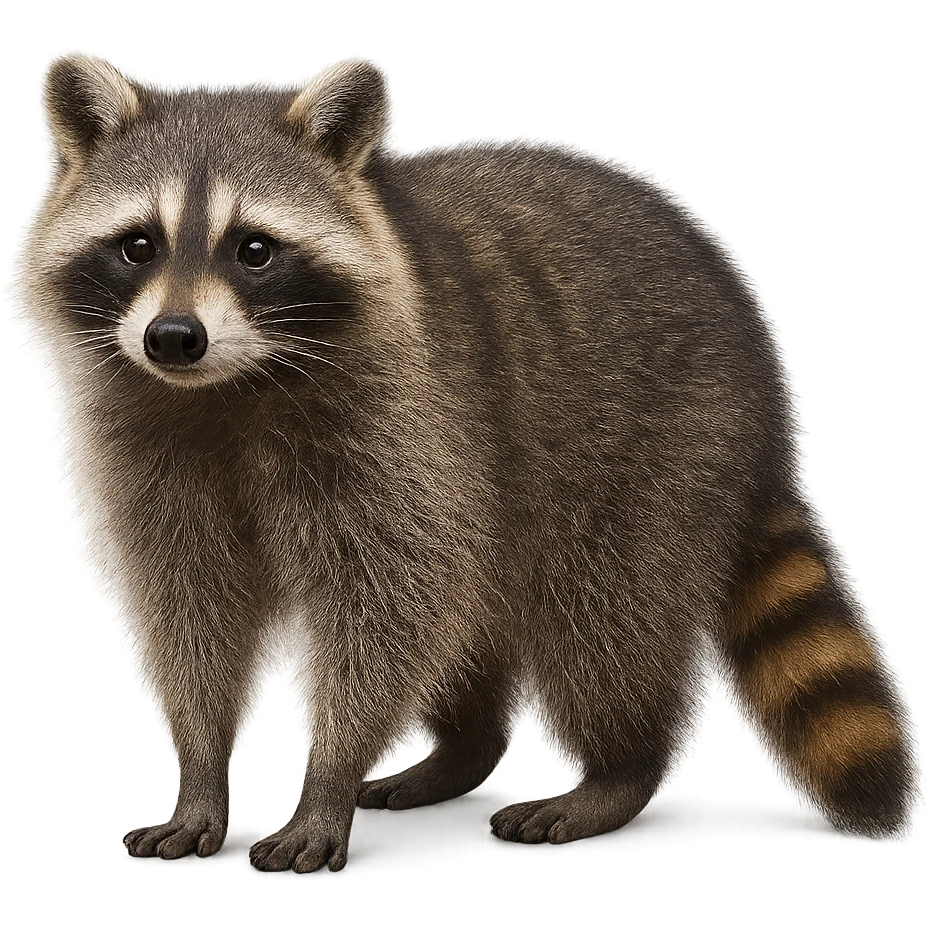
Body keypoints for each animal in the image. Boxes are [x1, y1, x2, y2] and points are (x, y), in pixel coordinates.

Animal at [28, 54, 911, 872]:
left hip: (664, 448)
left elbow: (391, 601)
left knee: (603, 618)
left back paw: (617, 770)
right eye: (138, 244)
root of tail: (764, 404)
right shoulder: (157, 440)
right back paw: (466, 747)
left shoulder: (406, 420)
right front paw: (203, 768)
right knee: (475, 610)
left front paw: (326, 778)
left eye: (254, 250)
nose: (173, 337)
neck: (230, 387)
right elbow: (194, 604)